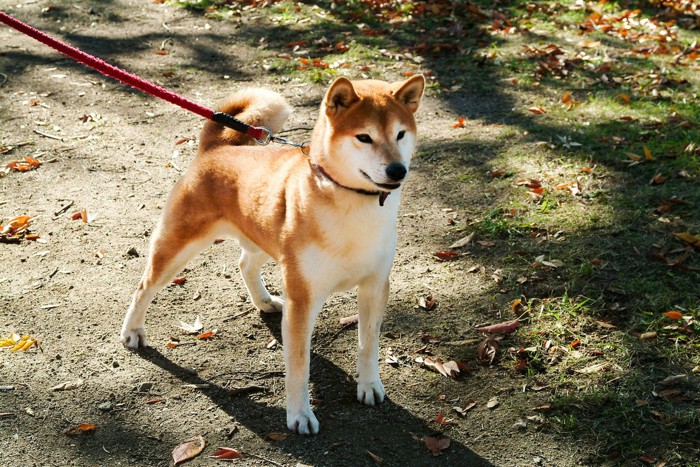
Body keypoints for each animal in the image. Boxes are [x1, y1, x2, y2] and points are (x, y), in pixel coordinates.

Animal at [120, 74, 424, 436]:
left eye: (400, 134)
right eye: (364, 137)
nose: (398, 170)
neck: (352, 205)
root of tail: (216, 147)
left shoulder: (375, 285)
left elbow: (368, 344)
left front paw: (369, 386)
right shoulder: (302, 299)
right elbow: (299, 365)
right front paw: (300, 415)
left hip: (266, 241)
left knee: (244, 264)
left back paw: (264, 301)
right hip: (179, 246)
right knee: (144, 287)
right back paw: (132, 331)